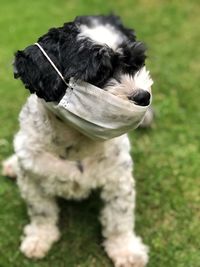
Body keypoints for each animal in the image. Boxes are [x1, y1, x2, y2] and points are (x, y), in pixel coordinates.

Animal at [2, 15, 154, 267]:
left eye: (136, 62)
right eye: (98, 74)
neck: (76, 142)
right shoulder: (33, 178)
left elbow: (119, 218)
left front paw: (125, 249)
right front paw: (39, 237)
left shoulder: (118, 178)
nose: (143, 97)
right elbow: (41, 212)